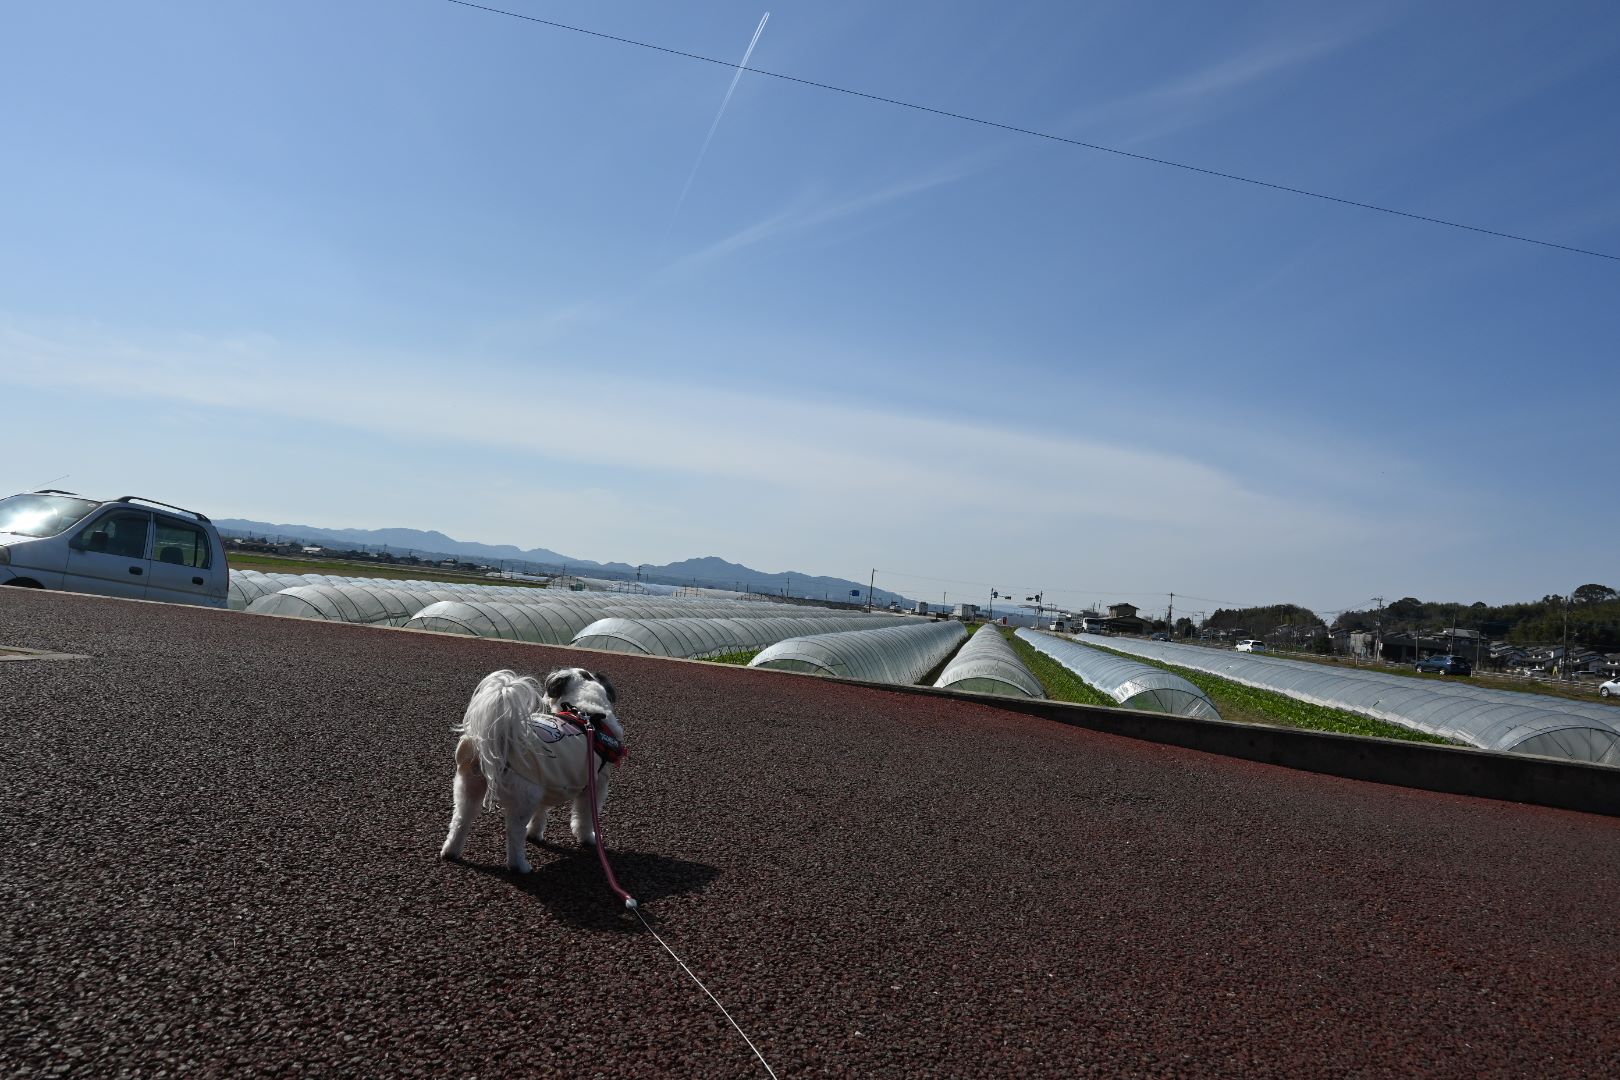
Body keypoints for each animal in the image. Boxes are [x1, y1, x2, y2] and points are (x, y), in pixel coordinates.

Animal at [440, 663, 622, 874]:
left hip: (470, 785)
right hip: (524, 797)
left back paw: (451, 851)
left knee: (461, 820)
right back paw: (519, 865)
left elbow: (540, 813)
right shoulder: (594, 786)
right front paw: (588, 838)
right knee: (514, 834)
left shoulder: (549, 780)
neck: (586, 713)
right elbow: (585, 818)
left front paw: (535, 833)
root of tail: (499, 739)